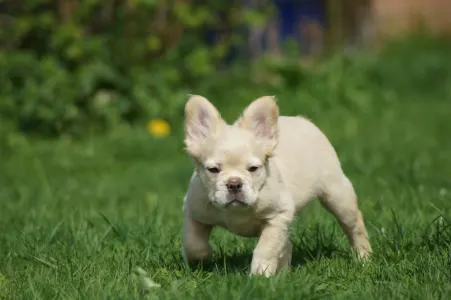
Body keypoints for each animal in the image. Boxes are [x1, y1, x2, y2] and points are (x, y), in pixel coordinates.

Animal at [182, 94, 372, 276]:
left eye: (253, 168)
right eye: (213, 170)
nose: (234, 183)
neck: (237, 211)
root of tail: (301, 119)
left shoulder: (277, 218)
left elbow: (266, 248)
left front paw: (260, 275)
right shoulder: (194, 212)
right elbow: (193, 244)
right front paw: (204, 255)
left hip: (337, 194)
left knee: (354, 225)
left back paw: (363, 258)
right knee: (286, 244)